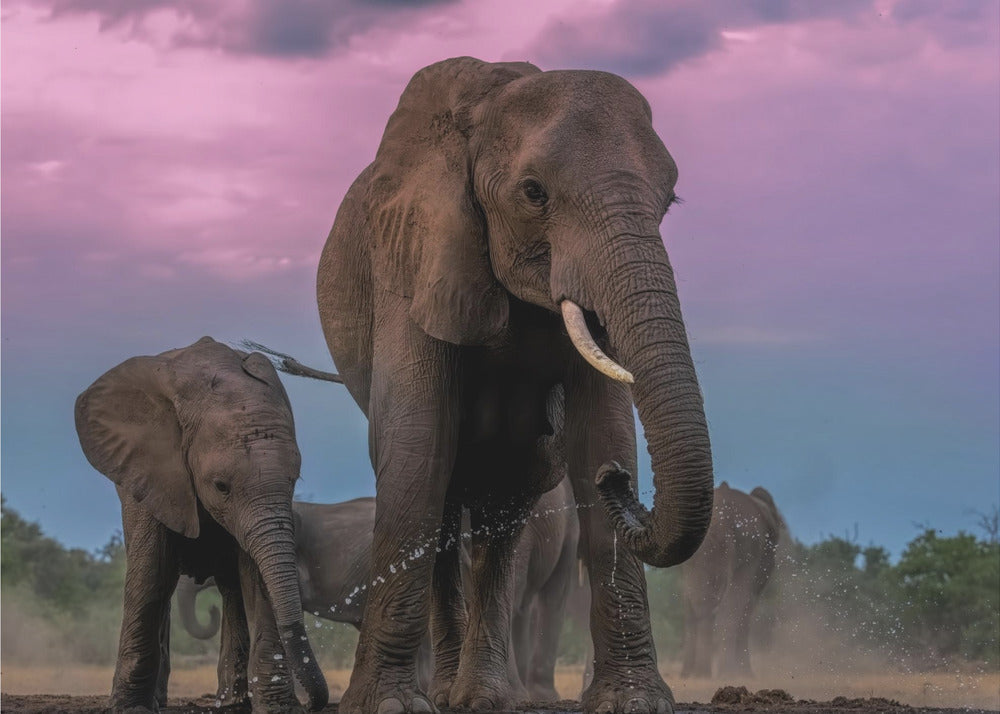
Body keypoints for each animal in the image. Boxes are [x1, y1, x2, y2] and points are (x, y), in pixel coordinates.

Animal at [74, 337, 329, 713]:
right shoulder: (151, 471)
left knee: (232, 589)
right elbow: (152, 572)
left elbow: (256, 578)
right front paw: (130, 708)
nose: (312, 702)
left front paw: (279, 708)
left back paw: (232, 703)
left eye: (294, 479)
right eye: (221, 486)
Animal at [316, 56, 714, 714]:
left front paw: (634, 701)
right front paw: (388, 705)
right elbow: (417, 445)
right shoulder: (411, 255)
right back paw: (447, 693)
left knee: (505, 512)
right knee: (445, 496)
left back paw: (481, 696)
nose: (616, 482)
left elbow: (603, 429)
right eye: (534, 193)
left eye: (670, 200)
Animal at [680, 483, 787, 679]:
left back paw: (698, 674)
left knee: (697, 605)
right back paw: (726, 673)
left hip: (699, 556)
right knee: (730, 605)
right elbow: (745, 604)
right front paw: (745, 674)